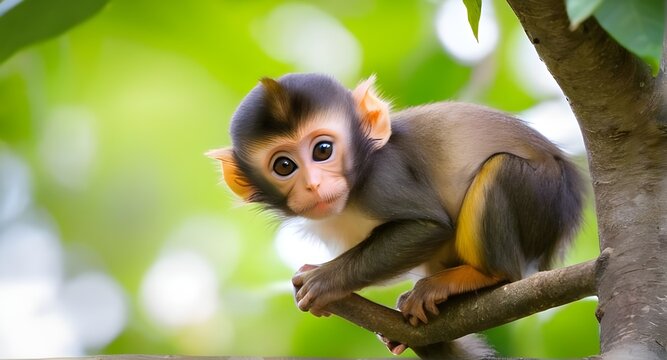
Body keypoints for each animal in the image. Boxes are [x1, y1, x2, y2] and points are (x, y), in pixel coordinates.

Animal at [209, 73, 584, 358]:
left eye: (323, 150)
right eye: (284, 166)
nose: (314, 185)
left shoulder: (384, 177)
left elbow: (429, 226)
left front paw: (325, 280)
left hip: (544, 192)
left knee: (499, 171)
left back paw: (483, 275)